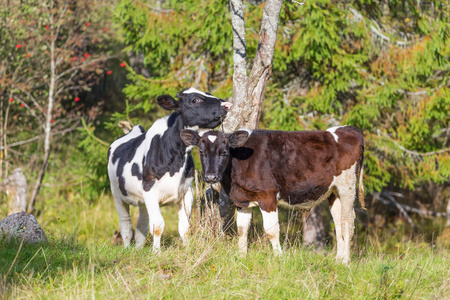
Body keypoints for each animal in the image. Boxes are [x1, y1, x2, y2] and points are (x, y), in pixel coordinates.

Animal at [107, 87, 230, 251]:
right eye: (194, 100)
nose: (226, 105)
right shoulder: (150, 188)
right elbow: (157, 225)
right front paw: (156, 253)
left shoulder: (187, 190)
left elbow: (184, 227)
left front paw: (187, 250)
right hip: (117, 194)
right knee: (126, 224)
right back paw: (127, 249)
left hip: (142, 200)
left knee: (142, 224)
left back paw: (138, 249)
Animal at [180, 126, 366, 262]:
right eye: (201, 152)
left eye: (224, 152)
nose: (211, 176)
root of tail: (348, 129)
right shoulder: (242, 199)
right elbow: (242, 229)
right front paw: (241, 257)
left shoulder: (267, 195)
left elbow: (271, 230)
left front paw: (278, 258)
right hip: (333, 191)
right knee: (338, 222)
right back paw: (338, 259)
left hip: (347, 186)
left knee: (348, 221)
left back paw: (346, 261)